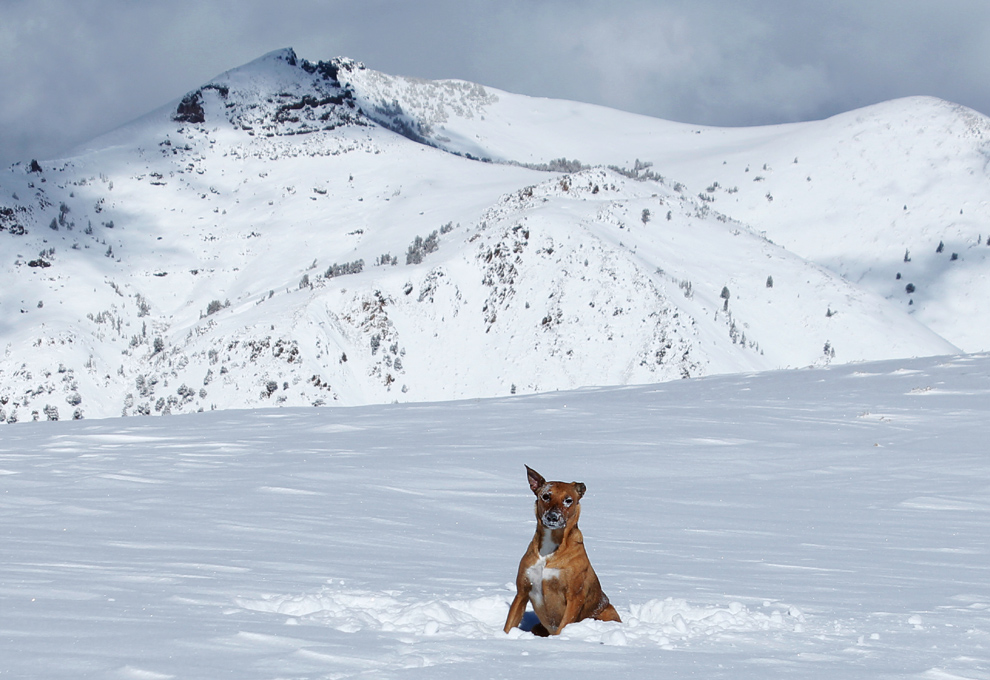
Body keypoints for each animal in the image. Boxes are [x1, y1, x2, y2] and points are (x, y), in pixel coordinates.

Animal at [504, 464, 620, 636]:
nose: (553, 517)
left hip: (605, 614)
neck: (549, 552)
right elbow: (509, 624)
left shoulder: (574, 596)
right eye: (546, 496)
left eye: (568, 500)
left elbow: (564, 624)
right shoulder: (522, 591)